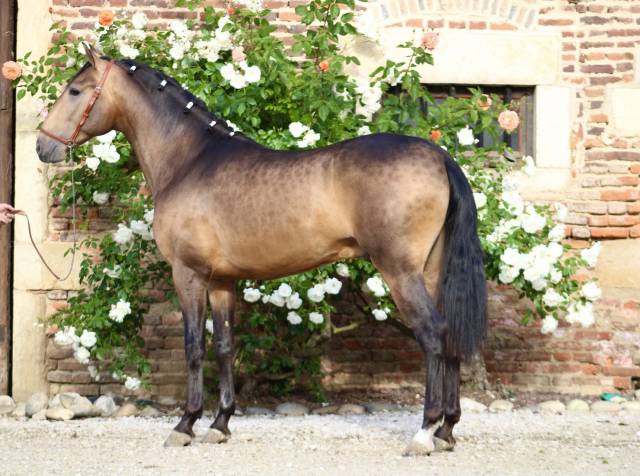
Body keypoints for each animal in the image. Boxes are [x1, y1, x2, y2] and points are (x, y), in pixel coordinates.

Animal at [36, 45, 487, 455]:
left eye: (75, 90)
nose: (43, 146)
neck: (190, 161)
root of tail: (441, 156)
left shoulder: (188, 274)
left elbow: (194, 347)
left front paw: (185, 424)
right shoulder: (222, 281)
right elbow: (224, 347)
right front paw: (220, 423)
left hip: (400, 271)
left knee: (433, 334)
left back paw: (425, 433)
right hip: (431, 272)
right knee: (449, 336)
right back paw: (447, 431)